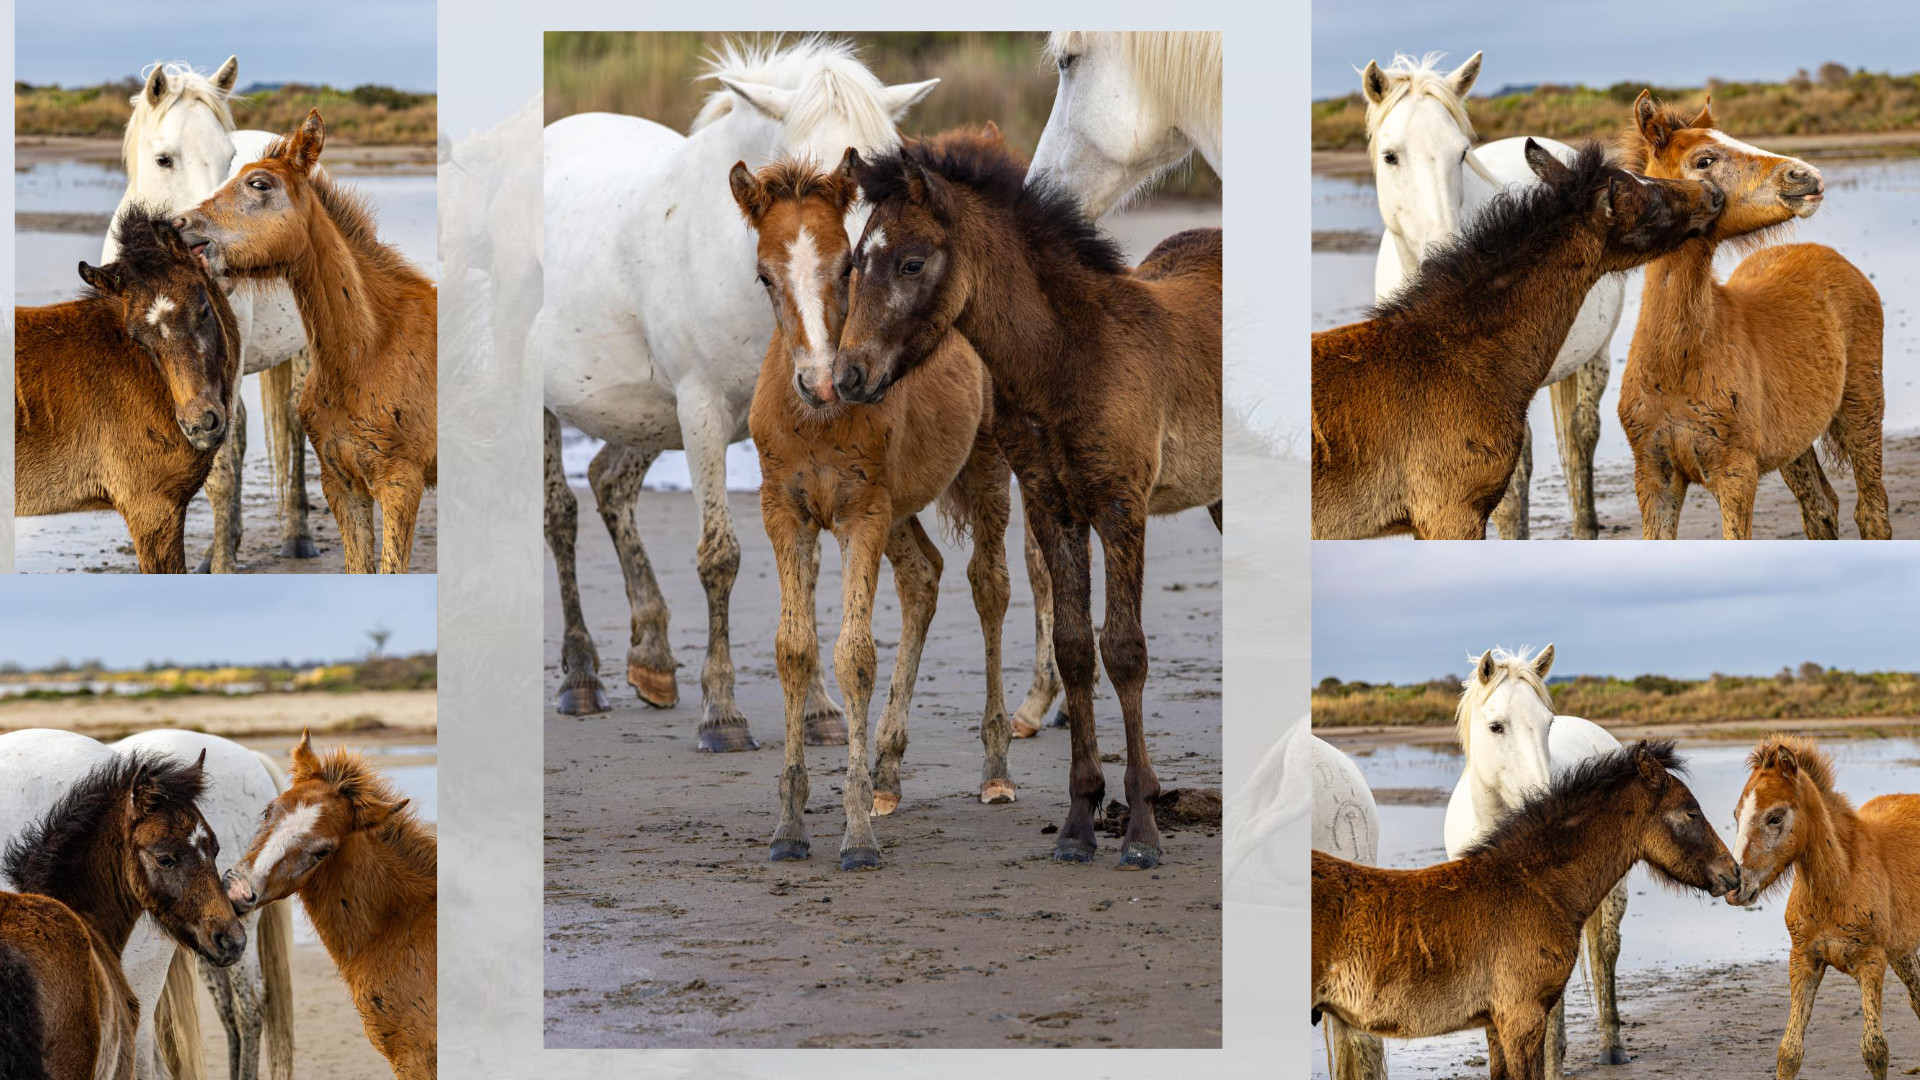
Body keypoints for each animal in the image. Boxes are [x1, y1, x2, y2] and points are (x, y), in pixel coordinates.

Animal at [110, 56, 316, 572]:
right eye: (164, 159)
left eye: (229, 161)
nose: (203, 250)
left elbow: (220, 468)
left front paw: (225, 564)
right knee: (239, 432)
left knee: (293, 424)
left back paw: (297, 535)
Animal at [737, 157, 1021, 864]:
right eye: (763, 275)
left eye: (845, 267)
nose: (823, 380)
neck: (816, 422)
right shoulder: (785, 513)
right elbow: (795, 649)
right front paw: (790, 827)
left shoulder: (860, 513)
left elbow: (854, 655)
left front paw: (857, 835)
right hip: (898, 509)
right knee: (923, 577)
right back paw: (889, 774)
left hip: (984, 467)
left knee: (990, 585)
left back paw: (995, 770)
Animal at [1443, 641, 1628, 1068]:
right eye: (1496, 726)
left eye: (1548, 724)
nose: (1551, 802)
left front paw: (1550, 1064)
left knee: (1605, 952)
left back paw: (1612, 1046)